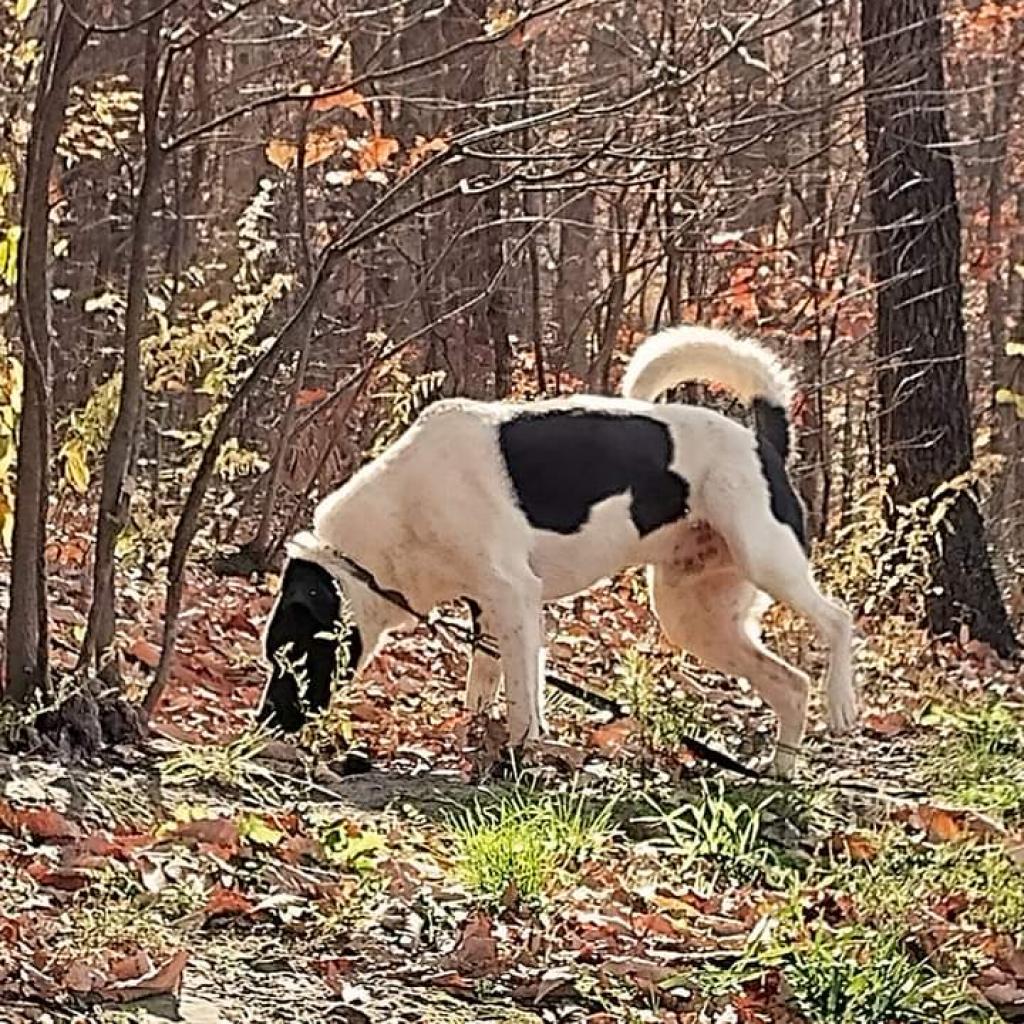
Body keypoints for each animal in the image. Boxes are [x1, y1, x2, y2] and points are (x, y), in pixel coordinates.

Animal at [258, 327, 856, 774]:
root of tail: (764, 440)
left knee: (838, 620)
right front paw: (477, 742)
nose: (262, 727)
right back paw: (779, 776)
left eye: (292, 654)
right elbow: (483, 690)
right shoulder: (488, 610)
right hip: (695, 615)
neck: (402, 509)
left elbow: (524, 702)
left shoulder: (516, 599)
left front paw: (521, 757)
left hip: (768, 561)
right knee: (790, 685)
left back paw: (842, 707)